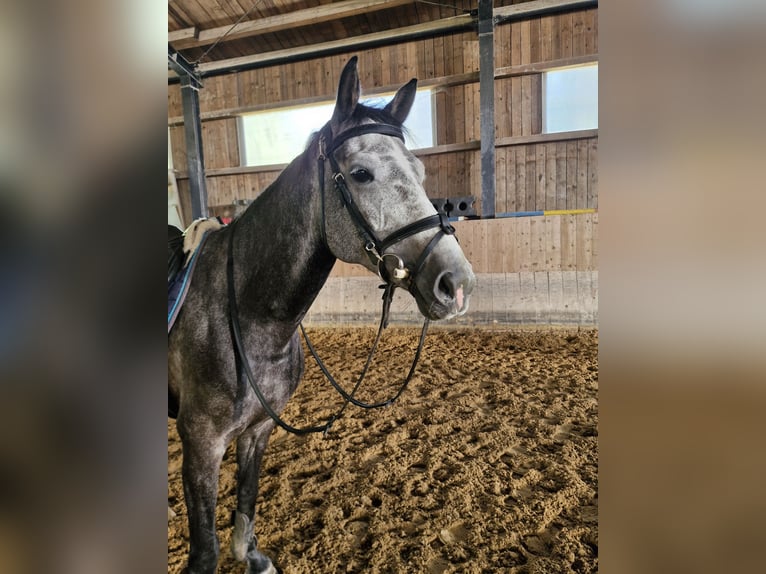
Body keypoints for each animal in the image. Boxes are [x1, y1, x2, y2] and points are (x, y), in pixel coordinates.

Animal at [168, 56, 476, 574]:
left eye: (419, 171)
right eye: (361, 173)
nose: (456, 283)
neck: (245, 313)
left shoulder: (259, 429)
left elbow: (247, 501)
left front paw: (252, 557)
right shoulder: (201, 445)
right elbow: (205, 549)